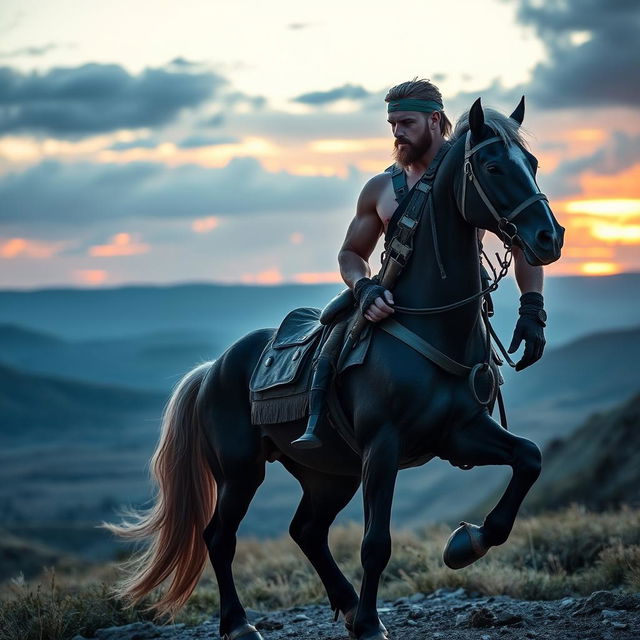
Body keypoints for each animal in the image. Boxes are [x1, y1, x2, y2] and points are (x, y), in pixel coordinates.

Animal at [106, 99, 564, 640]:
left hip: (330, 473)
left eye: (531, 164)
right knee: (219, 536)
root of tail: (212, 370)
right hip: (242, 471)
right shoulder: (383, 448)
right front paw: (370, 623)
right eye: (493, 167)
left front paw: (465, 544)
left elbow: (529, 458)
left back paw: (343, 603)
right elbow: (376, 542)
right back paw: (240, 623)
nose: (548, 237)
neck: (432, 326)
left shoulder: (459, 434)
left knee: (306, 530)